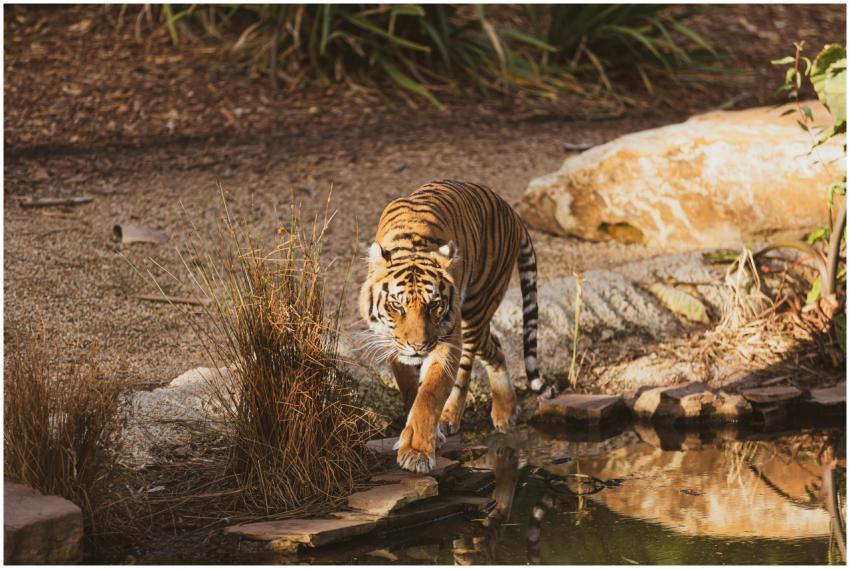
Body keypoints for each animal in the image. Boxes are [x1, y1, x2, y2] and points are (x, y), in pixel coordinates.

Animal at [359, 180, 552, 473]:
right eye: (397, 306)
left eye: (434, 305)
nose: (418, 346)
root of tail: (512, 211)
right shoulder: (391, 344)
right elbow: (410, 389)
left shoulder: (446, 339)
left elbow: (429, 395)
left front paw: (416, 452)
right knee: (496, 347)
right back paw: (504, 411)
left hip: (475, 309)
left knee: (472, 364)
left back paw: (471, 415)